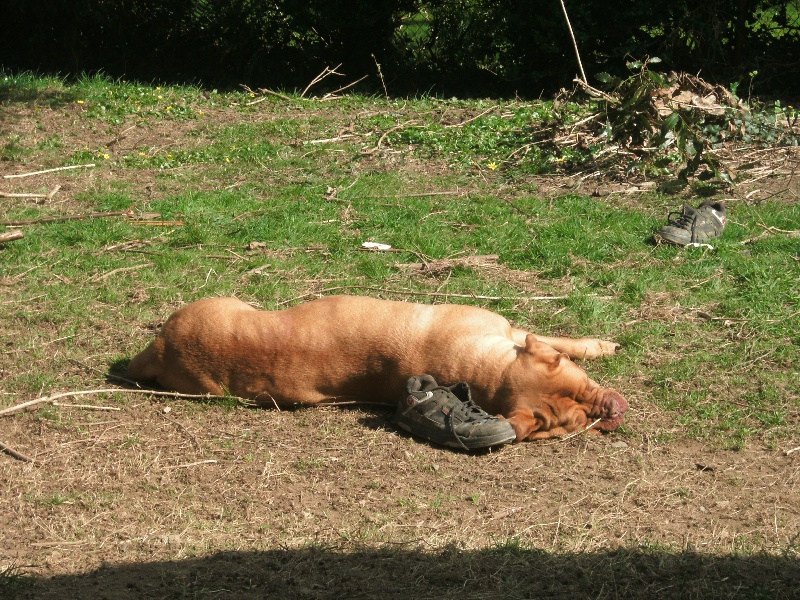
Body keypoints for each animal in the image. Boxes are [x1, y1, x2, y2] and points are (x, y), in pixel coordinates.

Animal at [126, 296, 624, 440]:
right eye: (578, 420)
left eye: (585, 405)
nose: (612, 411)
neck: (491, 374)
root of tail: (159, 347)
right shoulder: (511, 332)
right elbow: (560, 338)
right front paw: (599, 344)